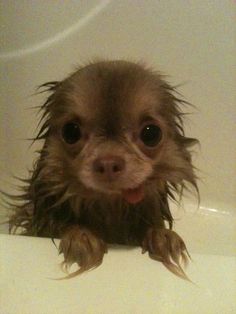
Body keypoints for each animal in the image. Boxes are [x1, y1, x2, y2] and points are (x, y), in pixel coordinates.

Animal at [8, 60, 197, 278]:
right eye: (71, 132)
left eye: (151, 134)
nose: (108, 162)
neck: (110, 204)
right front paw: (81, 235)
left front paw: (162, 235)